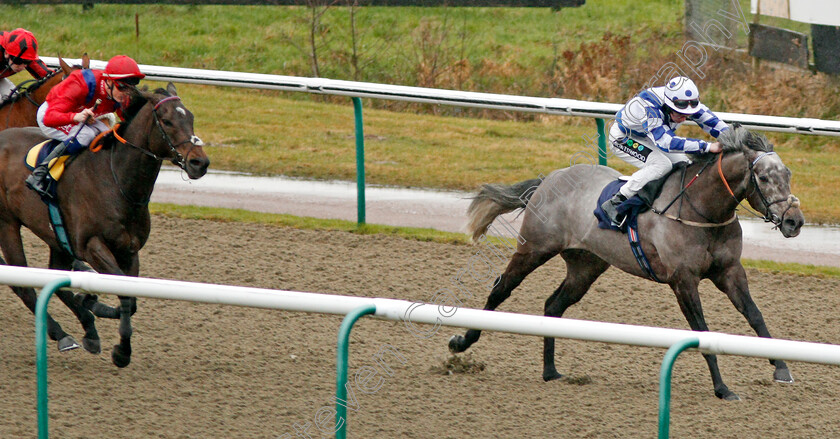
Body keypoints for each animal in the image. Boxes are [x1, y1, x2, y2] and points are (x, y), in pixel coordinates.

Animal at [0, 83, 210, 368]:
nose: (200, 162)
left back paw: (88, 327)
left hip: (56, 236)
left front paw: (114, 337)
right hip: (7, 223)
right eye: (166, 121)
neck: (115, 181)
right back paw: (62, 334)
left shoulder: (129, 250)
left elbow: (129, 298)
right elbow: (124, 295)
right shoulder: (92, 246)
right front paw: (118, 347)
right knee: (22, 284)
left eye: (191, 118)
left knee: (54, 276)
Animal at [450, 127, 804, 402]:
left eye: (788, 175)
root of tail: (550, 178)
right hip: (534, 248)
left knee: (553, 305)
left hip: (586, 266)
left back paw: (550, 371)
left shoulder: (729, 271)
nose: (795, 221)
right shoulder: (683, 280)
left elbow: (755, 315)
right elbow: (702, 332)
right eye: (763, 177)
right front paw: (722, 389)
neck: (703, 210)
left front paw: (782, 368)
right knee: (501, 289)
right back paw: (463, 342)